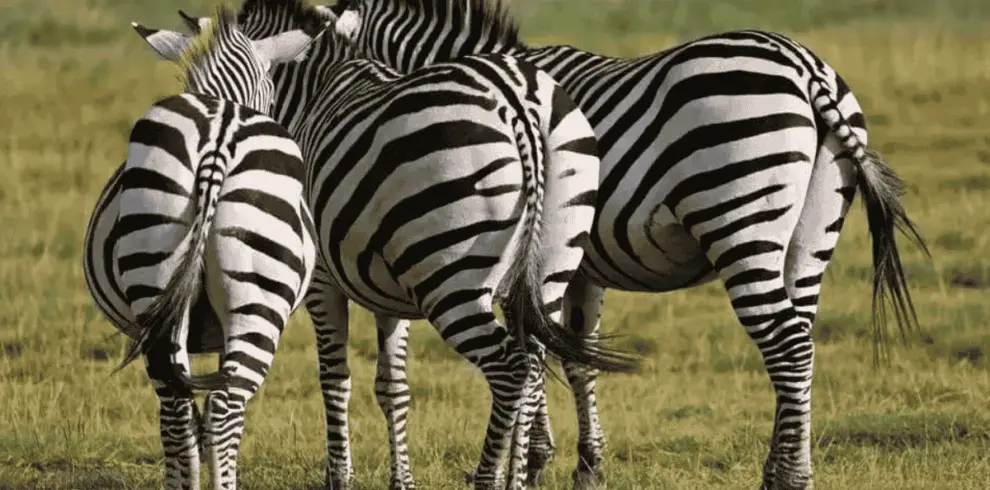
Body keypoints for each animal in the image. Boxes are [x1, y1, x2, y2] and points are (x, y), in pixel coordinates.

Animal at [82, 7, 327, 489]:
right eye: (273, 90)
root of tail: (218, 137)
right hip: (258, 301)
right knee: (223, 408)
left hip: (154, 278)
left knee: (179, 409)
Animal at [132, 1, 639, 489]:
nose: (215, 137)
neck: (317, 90)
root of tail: (518, 102)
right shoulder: (388, 287)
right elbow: (392, 386)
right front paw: (401, 479)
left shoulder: (324, 281)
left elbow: (334, 378)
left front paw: (339, 477)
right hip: (550, 262)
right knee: (535, 364)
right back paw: (517, 476)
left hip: (450, 276)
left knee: (510, 369)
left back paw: (488, 478)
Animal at [324, 1, 932, 489]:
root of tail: (805, 66)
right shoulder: (578, 267)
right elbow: (574, 357)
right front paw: (584, 465)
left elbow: (547, 353)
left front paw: (537, 461)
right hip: (812, 234)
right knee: (801, 344)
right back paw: (786, 468)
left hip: (742, 215)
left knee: (785, 344)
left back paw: (785, 479)